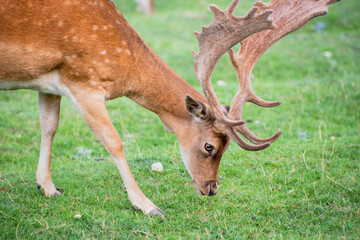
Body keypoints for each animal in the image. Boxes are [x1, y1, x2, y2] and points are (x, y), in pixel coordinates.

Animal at [0, 0, 338, 216]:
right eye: (209, 146)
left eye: (226, 147)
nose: (211, 189)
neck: (124, 69)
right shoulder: (84, 82)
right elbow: (114, 141)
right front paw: (147, 206)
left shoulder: (49, 83)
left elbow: (49, 126)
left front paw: (47, 187)